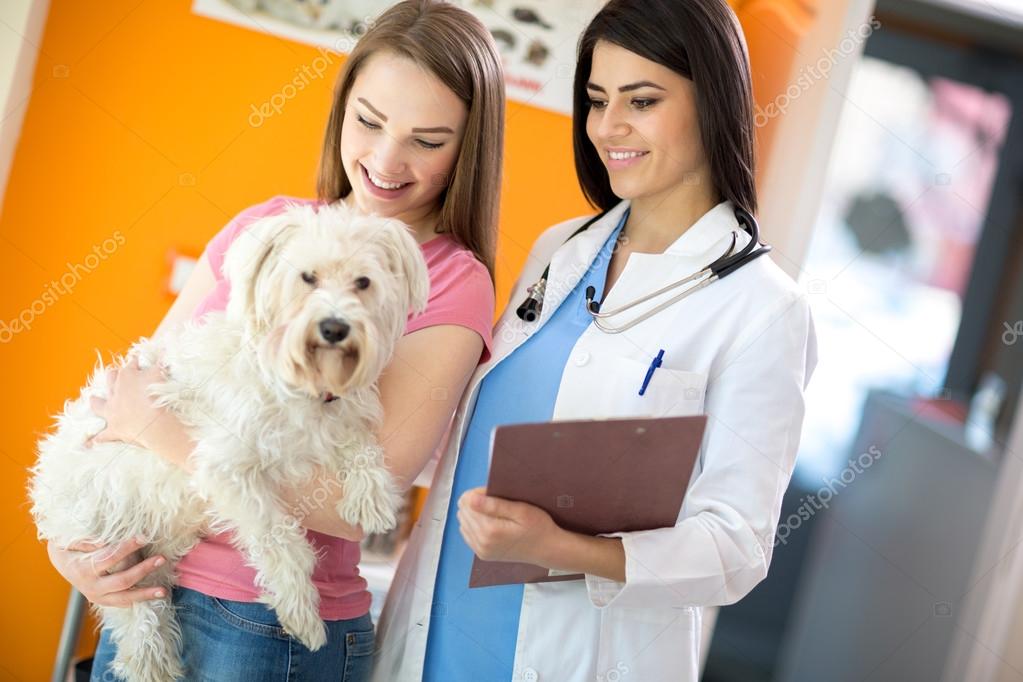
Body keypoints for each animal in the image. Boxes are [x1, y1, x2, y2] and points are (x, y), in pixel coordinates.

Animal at [28, 202, 427, 682]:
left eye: (363, 282)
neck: (300, 382)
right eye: (307, 277)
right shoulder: (229, 469)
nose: (335, 327)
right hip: (105, 546)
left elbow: (361, 444)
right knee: (134, 616)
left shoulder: (339, 419)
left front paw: (371, 496)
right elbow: (278, 537)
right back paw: (152, 662)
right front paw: (301, 611)